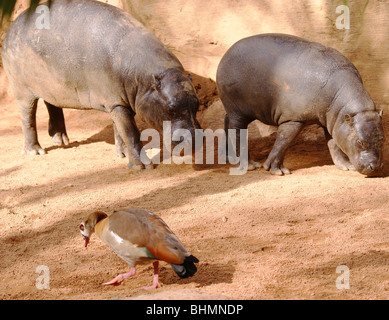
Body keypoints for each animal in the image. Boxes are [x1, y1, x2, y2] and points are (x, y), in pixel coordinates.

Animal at [3, 0, 200, 170]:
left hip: (52, 84)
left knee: (52, 104)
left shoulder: (117, 101)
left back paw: (62, 140)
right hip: (22, 90)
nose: (196, 140)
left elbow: (119, 129)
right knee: (28, 117)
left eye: (197, 105)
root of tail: (11, 28)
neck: (145, 78)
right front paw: (142, 166)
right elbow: (130, 133)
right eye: (170, 109)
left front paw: (122, 155)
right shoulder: (117, 103)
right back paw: (35, 151)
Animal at [217, 33, 384, 175]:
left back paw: (228, 158)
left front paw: (346, 167)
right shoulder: (293, 119)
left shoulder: (332, 121)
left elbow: (334, 144)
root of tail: (226, 53)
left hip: (242, 110)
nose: (375, 167)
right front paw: (278, 171)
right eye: (360, 141)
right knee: (238, 132)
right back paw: (250, 165)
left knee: (226, 121)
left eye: (383, 139)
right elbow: (283, 142)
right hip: (238, 111)